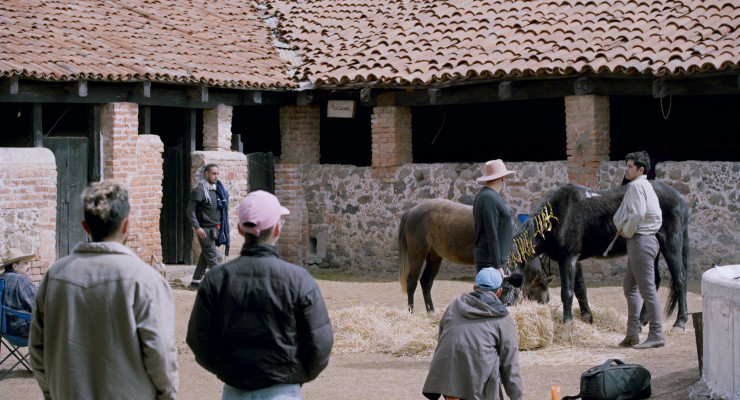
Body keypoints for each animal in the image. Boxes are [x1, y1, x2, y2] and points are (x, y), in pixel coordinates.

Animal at [396, 199, 552, 312]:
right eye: (538, 296)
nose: (544, 304)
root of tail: (411, 211)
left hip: (434, 257)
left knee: (426, 282)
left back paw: (431, 312)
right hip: (417, 255)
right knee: (412, 282)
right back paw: (411, 312)